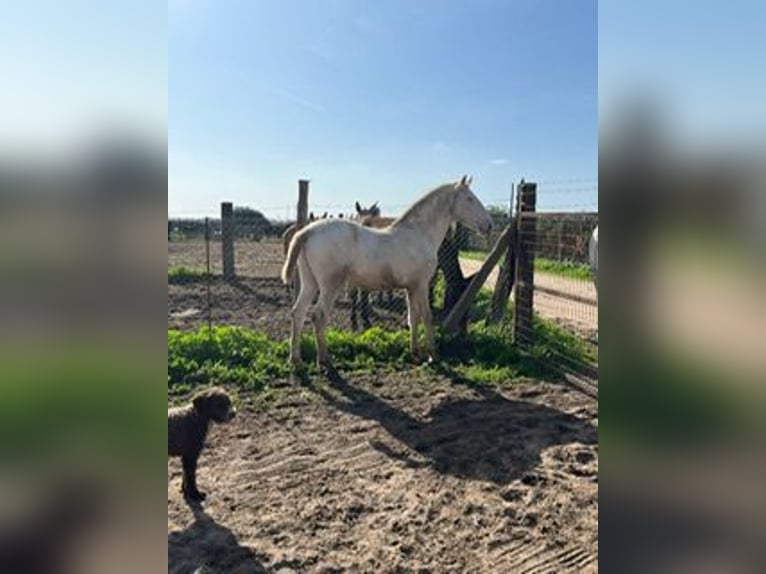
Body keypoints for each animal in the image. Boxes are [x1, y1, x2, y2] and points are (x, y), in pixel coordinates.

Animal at [282, 176, 492, 368]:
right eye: (469, 198)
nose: (489, 225)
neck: (418, 233)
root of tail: (307, 232)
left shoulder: (410, 287)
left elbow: (413, 317)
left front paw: (415, 353)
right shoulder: (421, 285)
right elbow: (426, 316)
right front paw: (432, 356)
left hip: (310, 283)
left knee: (298, 312)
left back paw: (296, 360)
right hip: (329, 286)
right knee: (319, 316)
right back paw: (324, 361)